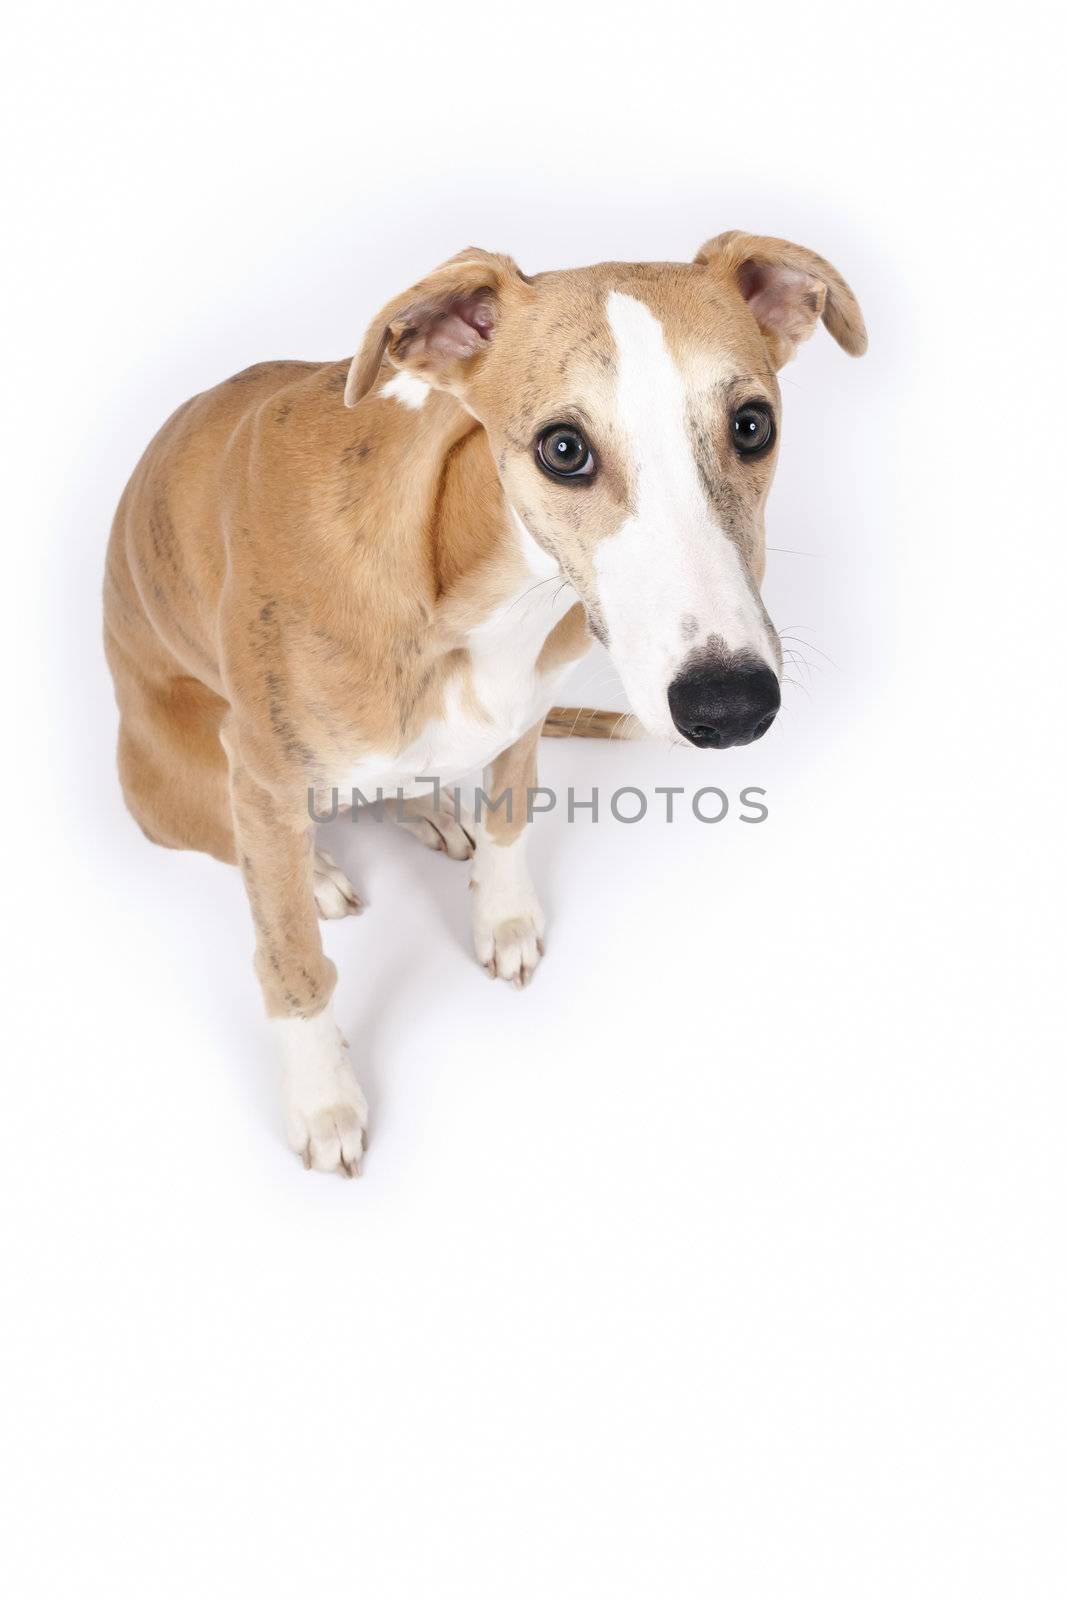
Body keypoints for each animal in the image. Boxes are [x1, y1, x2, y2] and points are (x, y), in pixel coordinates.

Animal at [102, 228, 870, 1177]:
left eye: (751, 425)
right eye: (563, 448)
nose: (729, 708)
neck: (481, 587)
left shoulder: (523, 715)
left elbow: (508, 819)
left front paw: (502, 922)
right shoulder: (265, 778)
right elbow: (292, 961)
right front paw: (324, 1102)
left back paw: (427, 809)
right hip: (188, 781)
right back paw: (318, 871)